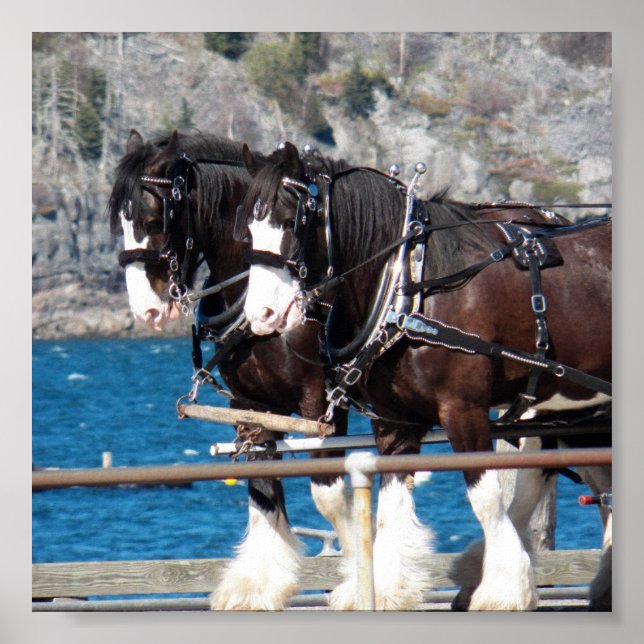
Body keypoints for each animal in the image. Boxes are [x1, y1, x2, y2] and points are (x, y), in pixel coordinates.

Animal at [108, 130, 356, 610]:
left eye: (153, 216)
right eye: (117, 222)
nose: (146, 310)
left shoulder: (320, 401)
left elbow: (329, 494)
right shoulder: (249, 405)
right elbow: (262, 488)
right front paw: (256, 586)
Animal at [238, 141, 612, 610]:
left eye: (291, 221)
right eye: (247, 230)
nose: (261, 316)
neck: (410, 284)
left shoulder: (464, 409)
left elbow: (485, 497)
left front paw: (503, 591)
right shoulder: (395, 421)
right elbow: (392, 503)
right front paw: (383, 590)